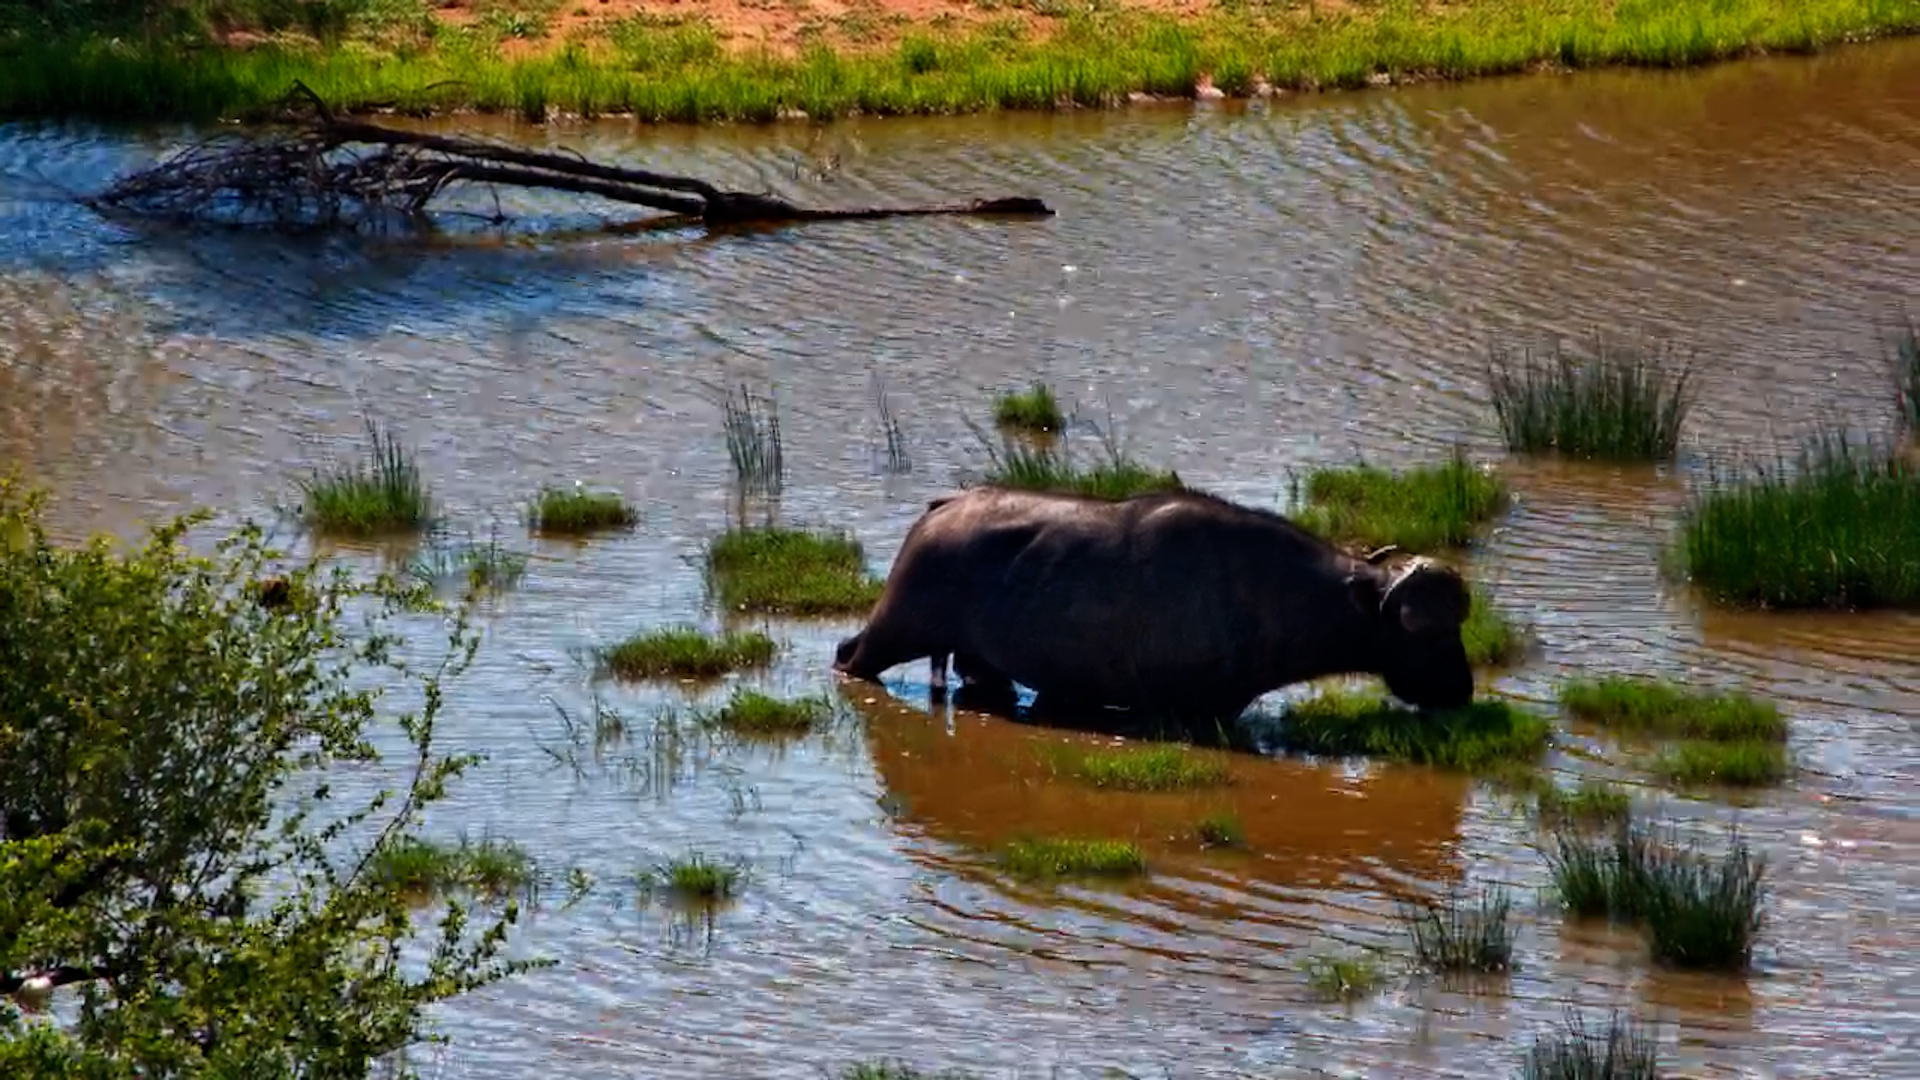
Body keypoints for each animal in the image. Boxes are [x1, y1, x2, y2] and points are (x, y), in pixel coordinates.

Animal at [831, 486, 1477, 721]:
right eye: (1425, 629)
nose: (1464, 691)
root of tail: (943, 505)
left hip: (978, 661)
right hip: (894, 627)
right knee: (848, 655)